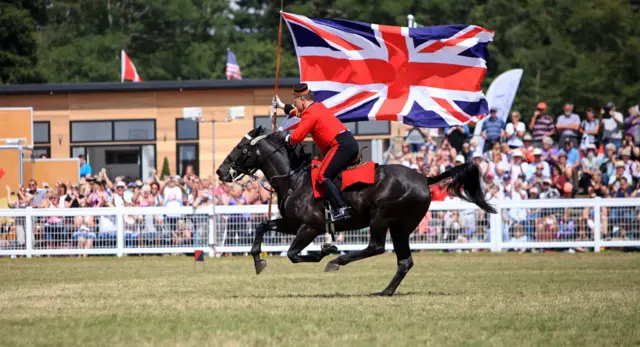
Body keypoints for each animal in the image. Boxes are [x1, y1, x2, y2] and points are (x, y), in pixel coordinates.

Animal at [215, 127, 496, 296]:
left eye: (241, 148)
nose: (220, 171)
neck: (295, 178)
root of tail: (424, 179)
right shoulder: (291, 224)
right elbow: (262, 227)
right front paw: (258, 260)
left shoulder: (310, 227)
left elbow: (294, 254)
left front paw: (324, 252)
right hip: (401, 227)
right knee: (404, 261)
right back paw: (386, 291)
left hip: (381, 218)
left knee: (376, 247)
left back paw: (337, 260)